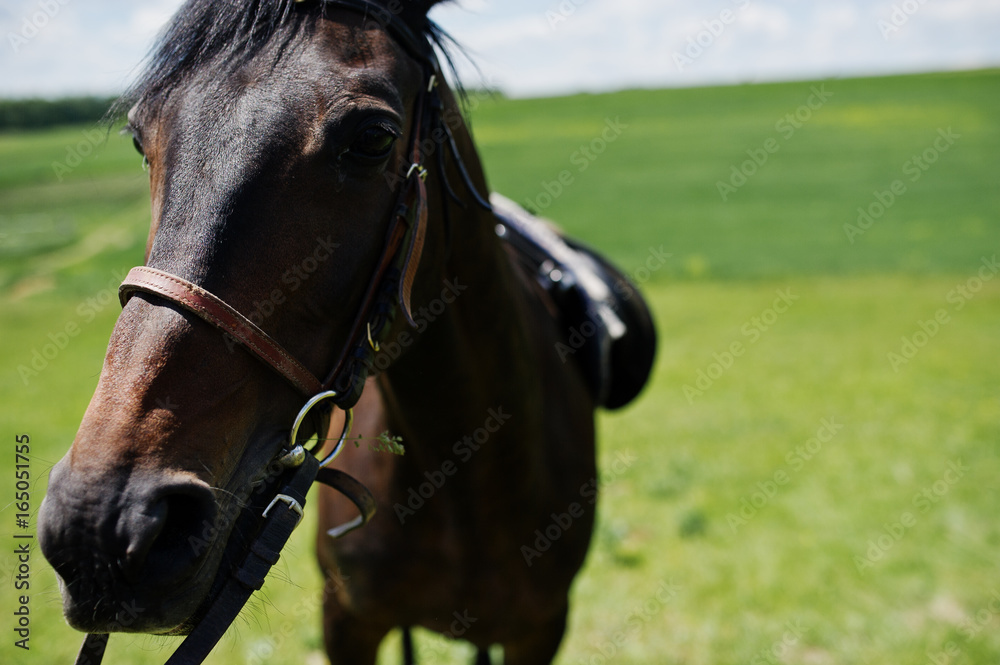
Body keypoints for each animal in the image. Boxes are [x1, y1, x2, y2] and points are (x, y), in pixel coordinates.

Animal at [37, 1, 655, 663]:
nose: (98, 524)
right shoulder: (348, 618)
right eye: (139, 137)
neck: (466, 474)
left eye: (374, 137)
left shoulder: (539, 629)